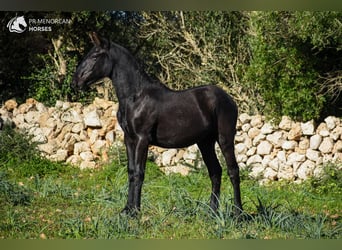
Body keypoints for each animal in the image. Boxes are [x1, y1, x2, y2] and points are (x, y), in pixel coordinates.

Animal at [72, 32, 243, 217]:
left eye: (95, 55)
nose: (76, 81)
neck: (135, 97)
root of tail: (229, 99)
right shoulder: (129, 139)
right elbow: (131, 171)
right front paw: (127, 209)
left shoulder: (142, 139)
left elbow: (139, 172)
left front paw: (135, 211)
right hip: (205, 142)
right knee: (215, 172)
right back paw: (212, 212)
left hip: (225, 139)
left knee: (233, 171)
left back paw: (238, 213)